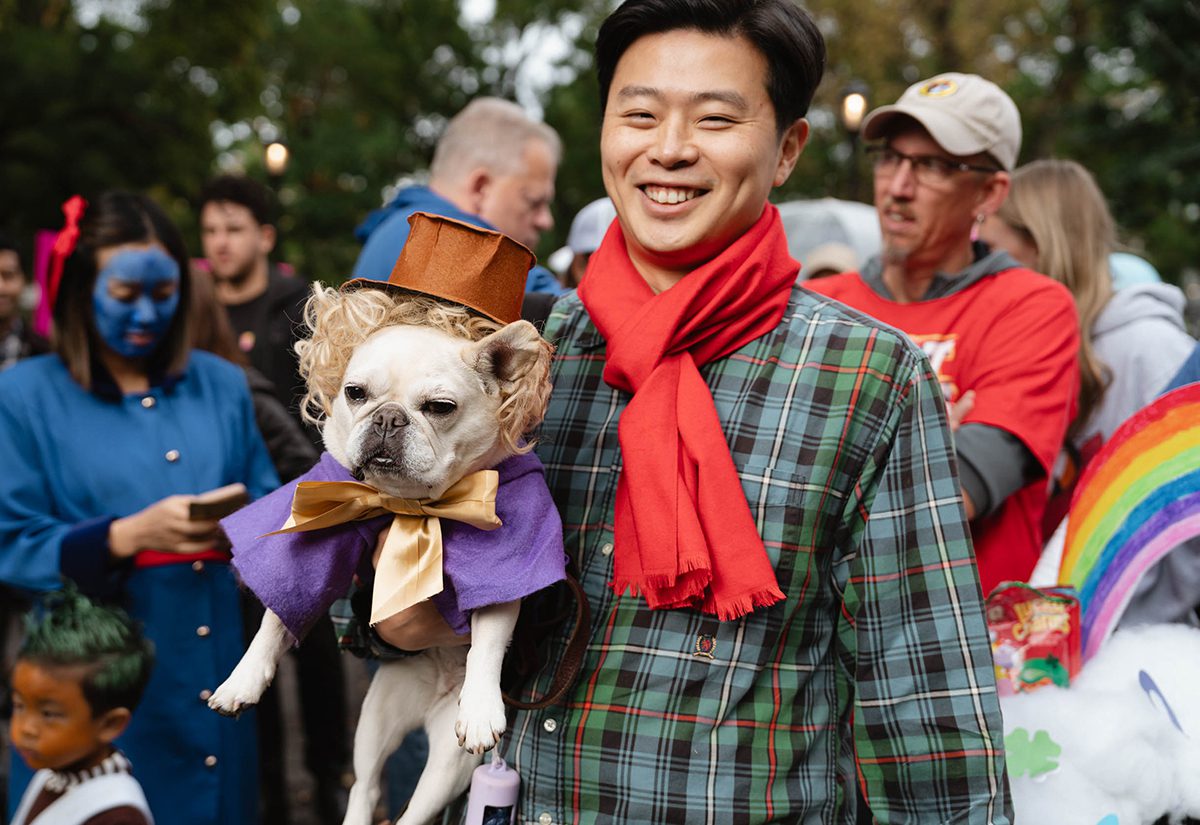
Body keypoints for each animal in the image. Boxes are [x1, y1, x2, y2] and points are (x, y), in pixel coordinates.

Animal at [207, 281, 561, 820]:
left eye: (440, 406)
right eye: (356, 393)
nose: (389, 418)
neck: (406, 506)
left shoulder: (503, 554)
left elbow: (488, 639)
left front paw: (482, 707)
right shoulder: (318, 527)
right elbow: (277, 614)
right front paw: (241, 680)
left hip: (449, 765)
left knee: (414, 809)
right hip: (376, 720)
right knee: (366, 785)